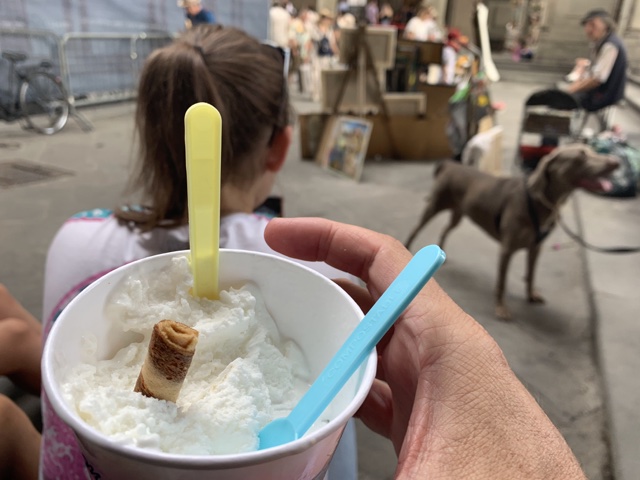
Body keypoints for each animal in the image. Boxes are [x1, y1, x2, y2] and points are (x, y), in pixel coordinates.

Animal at [404, 144, 619, 320]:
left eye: (592, 150)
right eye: (581, 155)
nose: (615, 162)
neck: (540, 202)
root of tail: (451, 165)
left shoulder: (535, 248)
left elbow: (531, 274)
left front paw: (531, 295)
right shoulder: (506, 249)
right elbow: (502, 282)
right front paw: (501, 308)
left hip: (458, 213)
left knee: (444, 229)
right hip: (434, 206)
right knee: (415, 228)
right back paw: (407, 246)